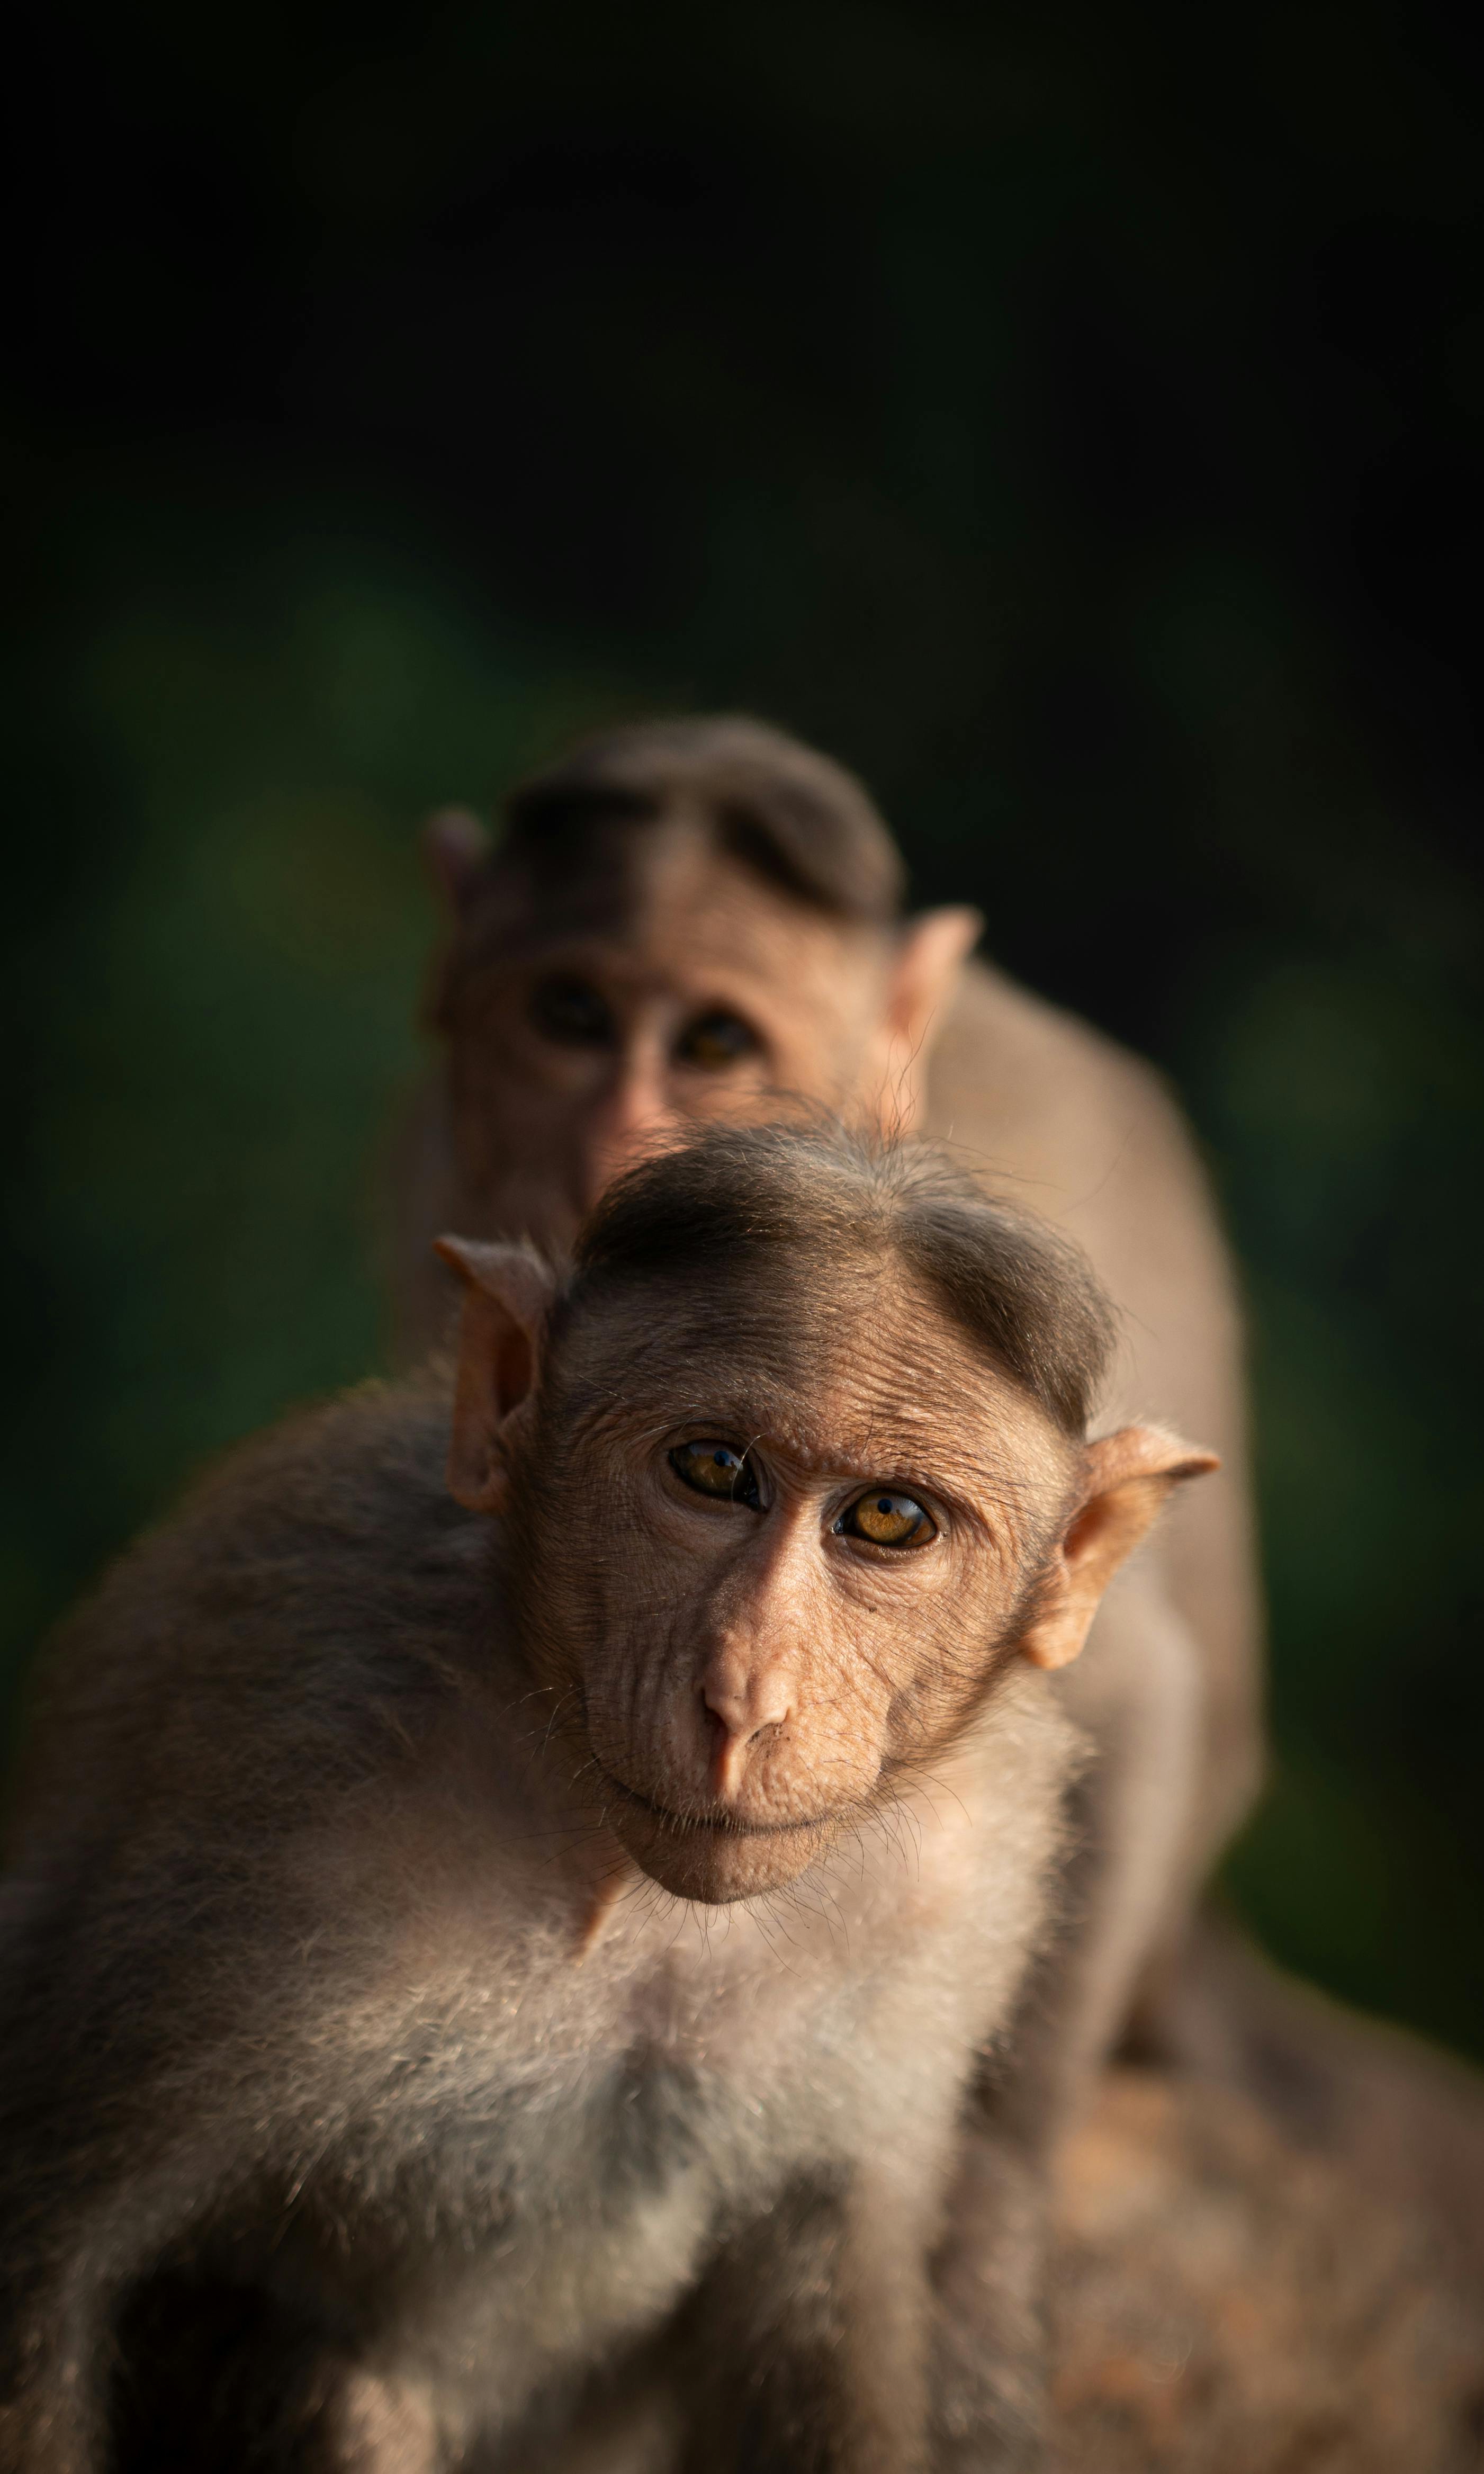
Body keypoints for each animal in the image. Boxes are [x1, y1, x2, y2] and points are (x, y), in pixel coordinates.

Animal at [0, 1124, 1215, 2473]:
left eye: (890, 1518)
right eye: (713, 1468)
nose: (748, 1693)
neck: (634, 1888)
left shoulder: (954, 1881)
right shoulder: (284, 1787)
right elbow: (51, 2257)